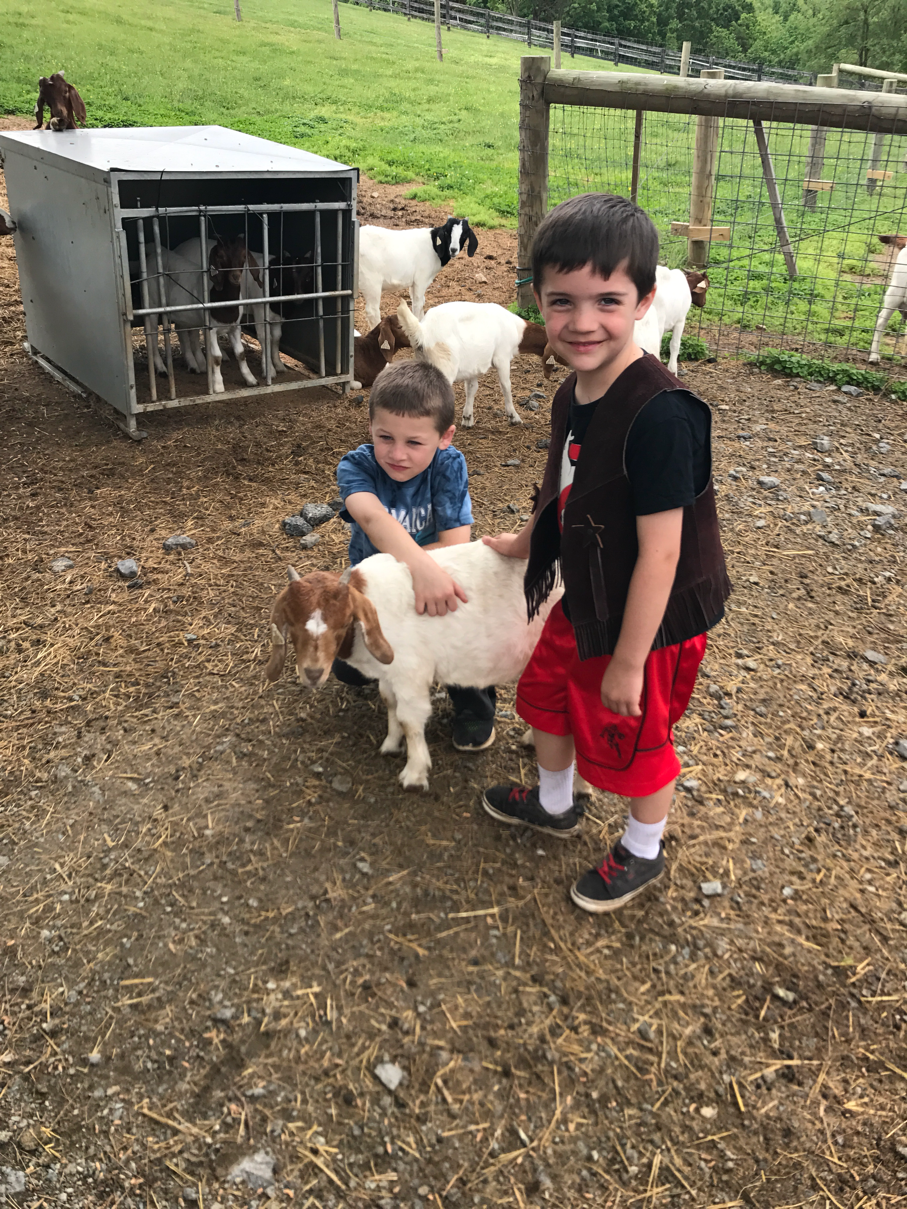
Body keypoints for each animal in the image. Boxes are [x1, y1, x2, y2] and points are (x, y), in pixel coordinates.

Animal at [142, 237, 256, 392]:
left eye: (244, 255)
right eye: (220, 255)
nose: (235, 277)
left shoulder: (235, 326)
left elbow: (241, 354)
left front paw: (251, 379)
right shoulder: (211, 329)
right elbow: (216, 357)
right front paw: (218, 386)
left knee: (182, 331)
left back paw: (196, 365)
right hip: (152, 303)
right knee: (151, 334)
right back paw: (162, 369)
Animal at [265, 541, 560, 790]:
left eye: (344, 622)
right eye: (291, 624)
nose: (313, 673)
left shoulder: (410, 672)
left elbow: (410, 719)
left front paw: (414, 773)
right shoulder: (389, 674)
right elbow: (389, 702)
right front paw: (390, 743)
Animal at [396, 299, 527, 427]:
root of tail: (423, 332)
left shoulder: (473, 366)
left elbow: (471, 388)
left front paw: (467, 418)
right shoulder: (502, 357)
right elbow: (506, 385)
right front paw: (513, 417)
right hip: (443, 366)